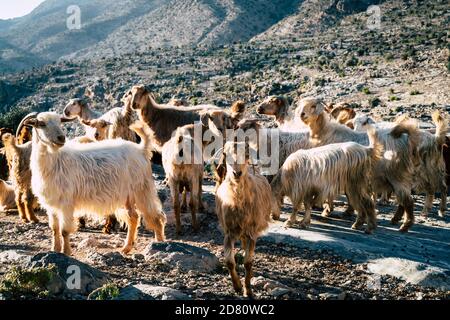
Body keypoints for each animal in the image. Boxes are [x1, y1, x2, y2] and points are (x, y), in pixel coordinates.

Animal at [19, 112, 165, 255]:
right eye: (41, 124)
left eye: (60, 123)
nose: (61, 138)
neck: (56, 160)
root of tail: (141, 149)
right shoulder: (51, 205)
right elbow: (54, 229)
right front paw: (54, 250)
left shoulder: (66, 203)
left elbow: (64, 230)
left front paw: (66, 252)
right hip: (127, 196)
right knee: (133, 217)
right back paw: (126, 248)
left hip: (142, 190)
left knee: (156, 217)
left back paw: (158, 244)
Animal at [216, 142, 272, 298]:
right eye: (226, 154)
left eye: (246, 155)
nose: (237, 173)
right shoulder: (229, 233)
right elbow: (229, 262)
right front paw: (237, 287)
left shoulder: (252, 233)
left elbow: (248, 263)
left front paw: (248, 290)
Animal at [298, 97, 422, 232]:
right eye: (301, 105)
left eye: (313, 106)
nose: (302, 114)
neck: (326, 132)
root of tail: (406, 138)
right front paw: (347, 212)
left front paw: (327, 210)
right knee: (402, 199)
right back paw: (396, 219)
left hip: (396, 174)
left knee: (407, 200)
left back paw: (405, 225)